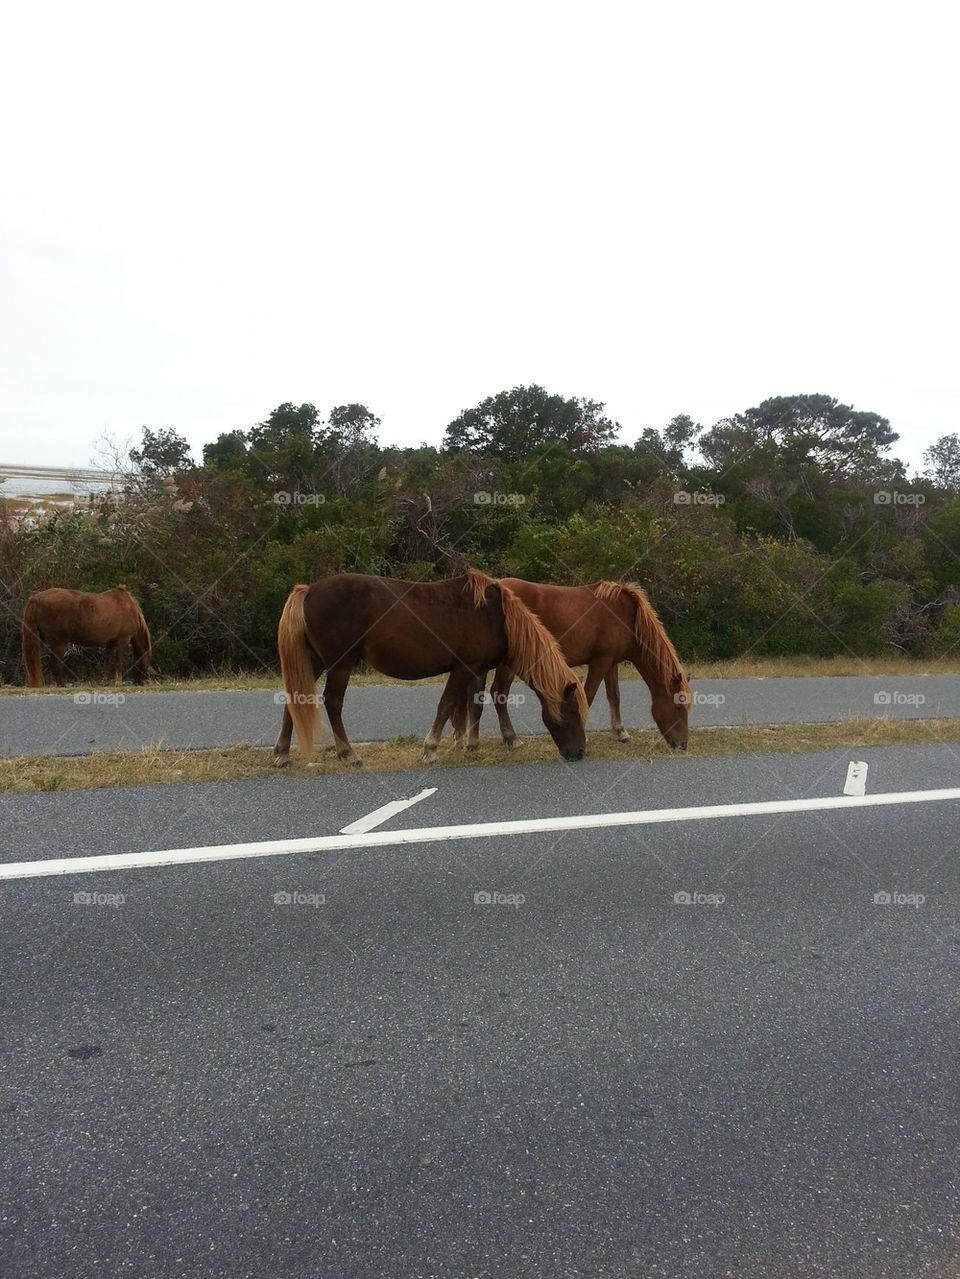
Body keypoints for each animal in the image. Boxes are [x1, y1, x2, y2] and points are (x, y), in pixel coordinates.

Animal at [21, 585, 152, 690]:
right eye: (145, 659)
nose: (140, 683)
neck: (129, 607)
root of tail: (36, 598)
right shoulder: (122, 640)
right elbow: (118, 662)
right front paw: (118, 683)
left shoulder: (109, 643)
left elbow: (107, 663)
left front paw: (105, 682)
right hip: (59, 643)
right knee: (55, 665)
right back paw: (62, 686)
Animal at [273, 572, 590, 767]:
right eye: (573, 711)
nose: (579, 753)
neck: (496, 616)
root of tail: (309, 590)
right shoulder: (462, 669)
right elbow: (446, 705)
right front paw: (431, 749)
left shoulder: (477, 670)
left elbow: (476, 705)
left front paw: (473, 745)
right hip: (340, 664)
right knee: (333, 703)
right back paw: (348, 754)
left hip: (313, 661)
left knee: (295, 701)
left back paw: (282, 754)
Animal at [465, 580, 690, 746]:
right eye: (679, 707)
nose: (683, 745)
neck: (627, 615)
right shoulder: (600, 661)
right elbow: (588, 695)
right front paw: (585, 735)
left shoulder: (612, 662)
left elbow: (614, 696)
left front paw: (621, 732)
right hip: (508, 663)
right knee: (499, 693)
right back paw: (511, 739)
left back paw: (474, 741)